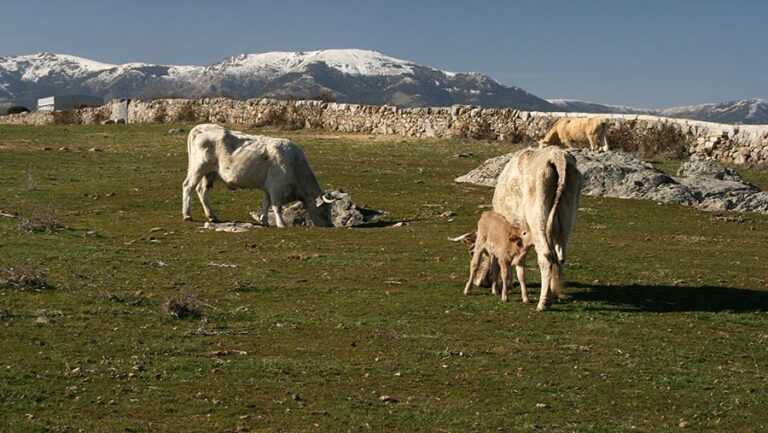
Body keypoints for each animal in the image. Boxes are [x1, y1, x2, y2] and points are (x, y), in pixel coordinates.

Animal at [182, 123, 338, 228]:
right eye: (324, 209)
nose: (330, 225)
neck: (295, 164)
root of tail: (200, 128)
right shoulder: (276, 187)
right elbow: (276, 206)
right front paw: (281, 224)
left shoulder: (268, 187)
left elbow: (266, 203)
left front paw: (264, 220)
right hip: (198, 169)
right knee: (188, 187)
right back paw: (187, 215)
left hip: (209, 174)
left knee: (202, 191)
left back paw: (212, 216)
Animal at [492, 147, 584, 308]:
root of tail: (556, 154)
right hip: (568, 217)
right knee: (560, 256)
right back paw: (554, 292)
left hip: (538, 218)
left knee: (546, 256)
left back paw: (543, 302)